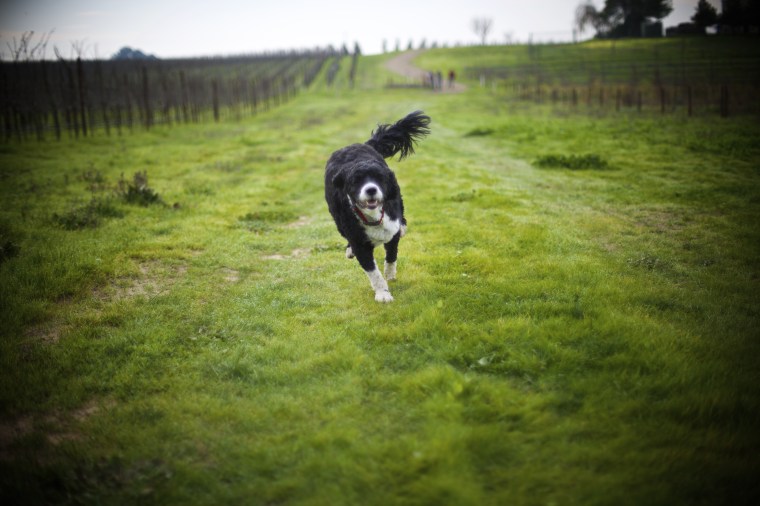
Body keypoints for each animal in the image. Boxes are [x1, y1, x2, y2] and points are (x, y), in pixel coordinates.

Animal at [326, 110, 430, 302]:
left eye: (379, 178)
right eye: (356, 181)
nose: (371, 189)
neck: (373, 216)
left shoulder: (391, 230)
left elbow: (391, 255)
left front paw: (390, 275)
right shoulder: (360, 244)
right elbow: (373, 272)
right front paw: (383, 293)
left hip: (397, 196)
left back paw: (403, 227)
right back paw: (349, 250)